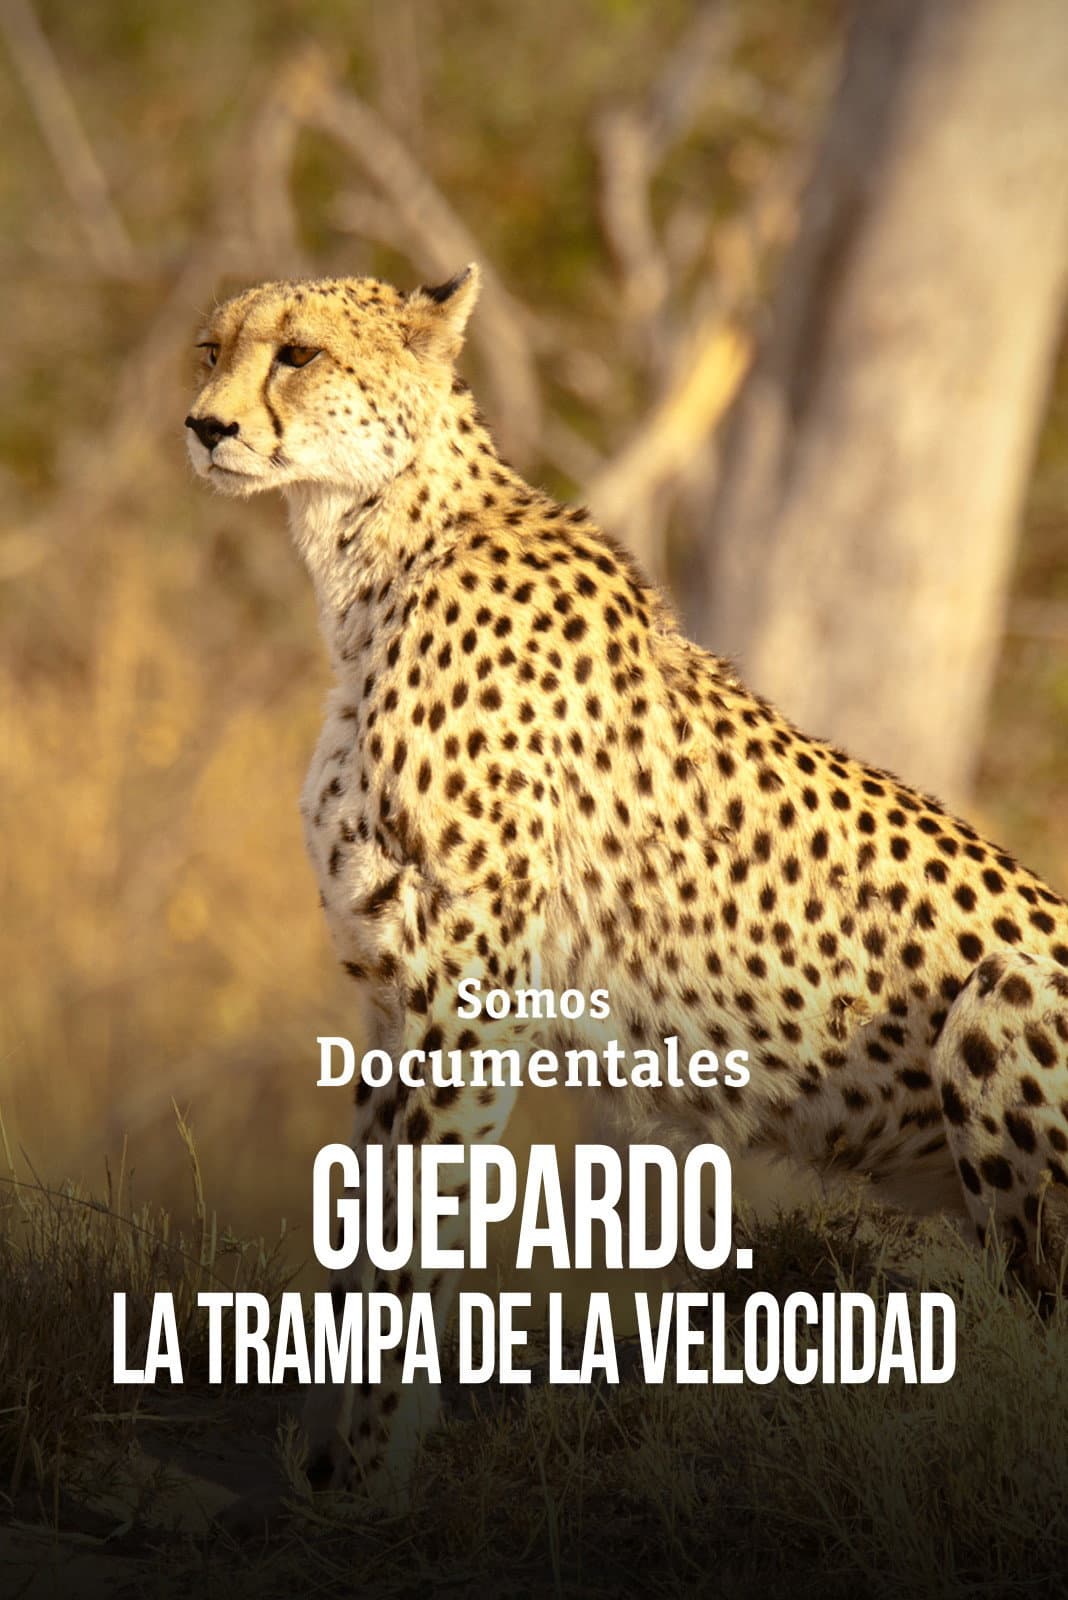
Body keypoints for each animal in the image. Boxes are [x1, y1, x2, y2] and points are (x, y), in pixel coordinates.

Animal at [186, 262, 1068, 1499]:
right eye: (211, 349)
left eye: (298, 352)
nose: (203, 425)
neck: (372, 551)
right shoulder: (391, 995)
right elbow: (361, 1226)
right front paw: (326, 1455)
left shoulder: (469, 995)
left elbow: (418, 1231)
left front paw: (375, 1466)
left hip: (1010, 990)